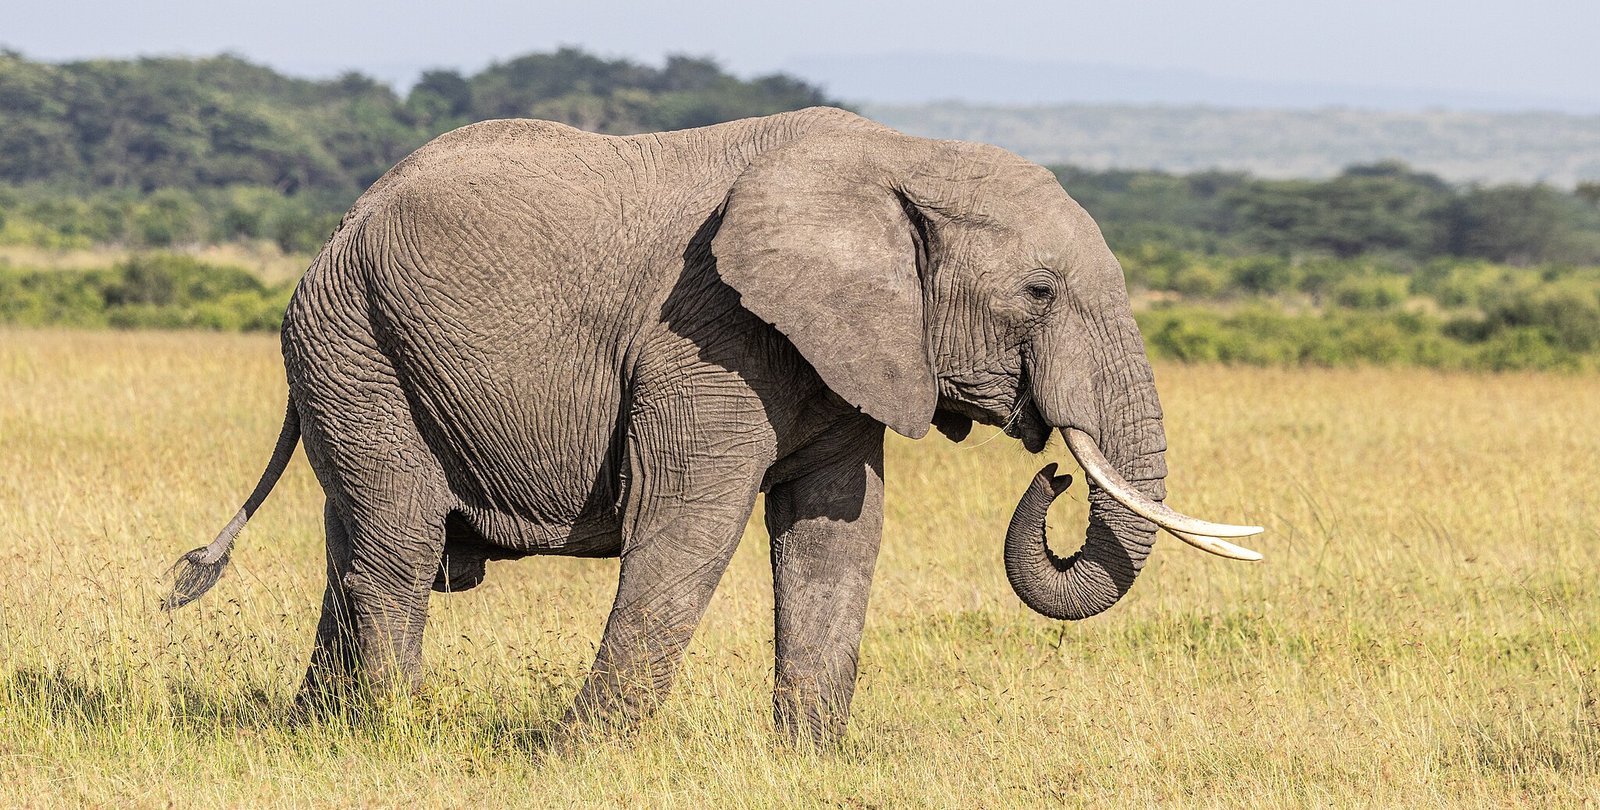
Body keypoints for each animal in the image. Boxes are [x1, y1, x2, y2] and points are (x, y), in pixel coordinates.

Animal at [163, 106, 1261, 743]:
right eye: (1037, 291)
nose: (1055, 474)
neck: (901, 158)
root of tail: (343, 219)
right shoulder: (708, 331)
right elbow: (691, 520)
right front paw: (578, 754)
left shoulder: (844, 350)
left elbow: (836, 530)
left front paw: (811, 760)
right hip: (353, 340)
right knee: (393, 544)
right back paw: (395, 732)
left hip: (359, 353)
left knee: (353, 540)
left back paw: (314, 735)